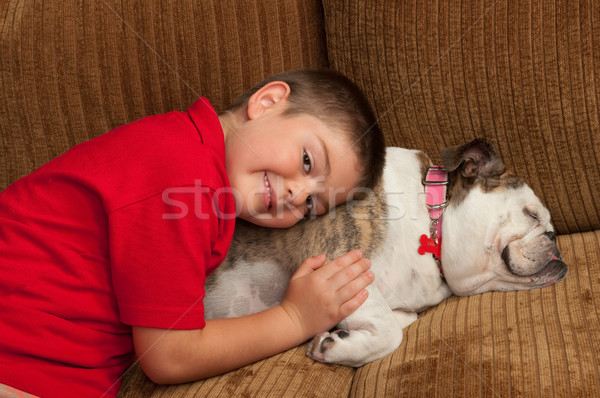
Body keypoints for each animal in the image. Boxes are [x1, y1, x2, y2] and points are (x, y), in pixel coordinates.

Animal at [203, 139, 568, 366]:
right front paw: (334, 346)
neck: (430, 220)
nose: (553, 237)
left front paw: (342, 335)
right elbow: (390, 334)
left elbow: (399, 319)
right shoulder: (337, 261)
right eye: (531, 214)